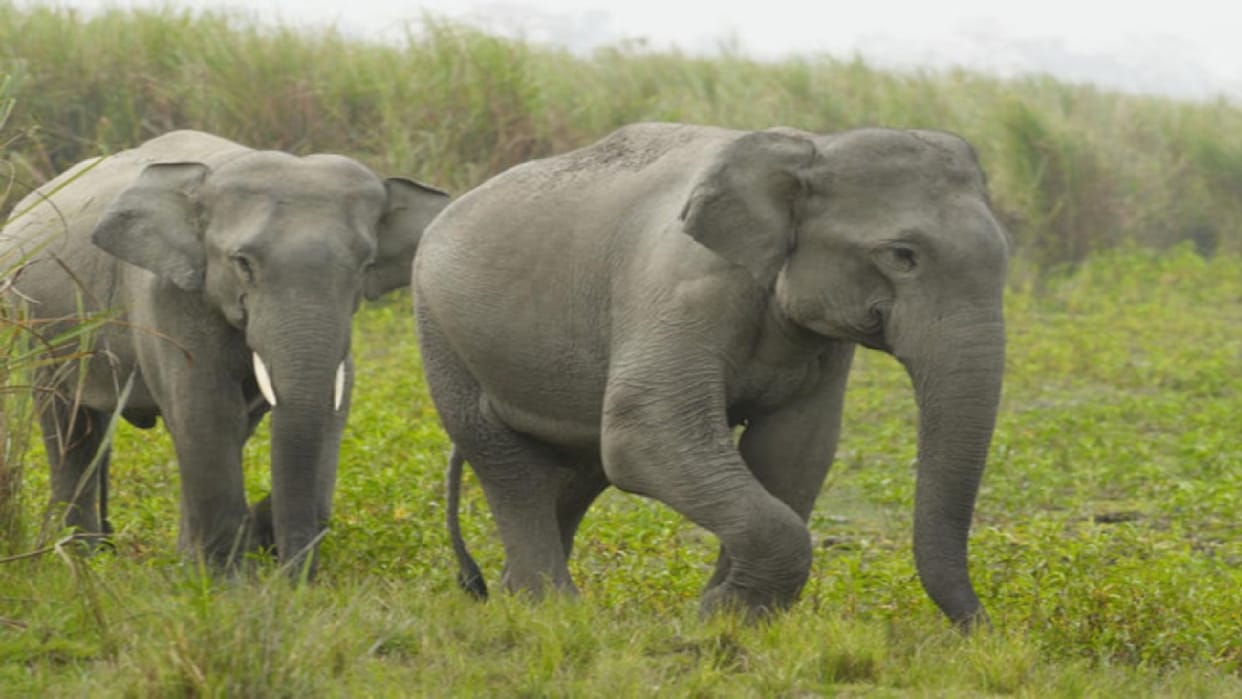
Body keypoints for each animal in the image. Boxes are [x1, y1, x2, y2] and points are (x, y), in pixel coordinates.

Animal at [0, 130, 449, 576]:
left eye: (365, 266)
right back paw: (81, 559)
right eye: (242, 263)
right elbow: (206, 410)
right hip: (40, 329)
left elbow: (319, 405)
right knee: (71, 429)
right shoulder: (168, 295)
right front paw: (222, 579)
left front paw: (209, 564)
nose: (290, 577)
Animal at [415, 122, 1008, 629]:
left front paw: (728, 616)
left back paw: (516, 595)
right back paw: (551, 609)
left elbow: (793, 450)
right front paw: (723, 614)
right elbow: (645, 432)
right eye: (902, 255)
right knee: (508, 463)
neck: (810, 147)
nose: (981, 629)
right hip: (440, 331)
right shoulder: (683, 287)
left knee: (579, 468)